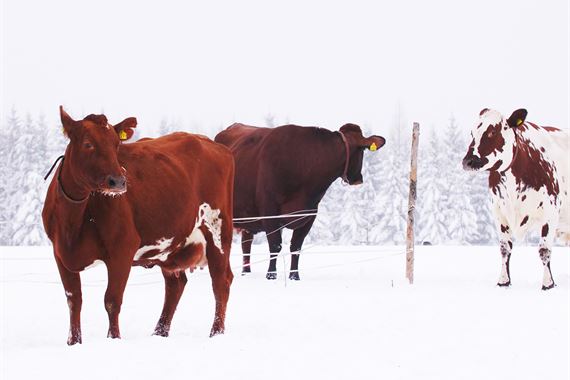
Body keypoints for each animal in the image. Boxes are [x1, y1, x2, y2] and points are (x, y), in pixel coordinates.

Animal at [41, 107, 233, 344]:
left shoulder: (122, 249)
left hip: (218, 229)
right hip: (172, 246)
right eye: (87, 143)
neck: (73, 221)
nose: (118, 181)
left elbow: (112, 300)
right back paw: (159, 333)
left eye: (116, 144)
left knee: (221, 281)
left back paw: (216, 333)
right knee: (175, 284)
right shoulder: (60, 253)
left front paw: (113, 339)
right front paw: (74, 342)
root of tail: (210, 143)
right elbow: (74, 300)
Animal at [214, 121, 386, 280]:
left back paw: (246, 272)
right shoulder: (269, 210)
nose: (358, 179)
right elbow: (275, 244)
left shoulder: (309, 214)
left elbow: (296, 247)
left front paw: (294, 276)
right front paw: (271, 275)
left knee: (246, 243)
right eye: (363, 150)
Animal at [464, 108, 564, 290]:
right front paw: (504, 281)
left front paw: (548, 283)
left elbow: (544, 249)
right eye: (472, 133)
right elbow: (505, 248)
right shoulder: (499, 212)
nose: (468, 161)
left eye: (492, 132)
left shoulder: (551, 211)